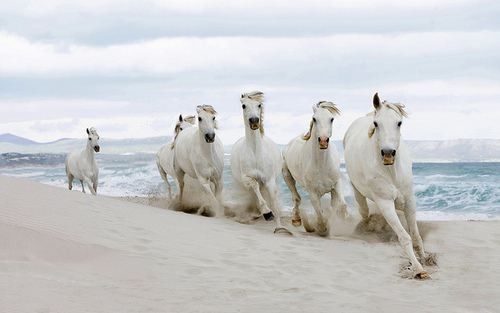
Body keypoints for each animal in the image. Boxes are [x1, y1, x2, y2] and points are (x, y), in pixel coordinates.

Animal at [229, 91, 292, 233]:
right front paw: (267, 213)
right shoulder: (247, 178)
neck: (256, 153)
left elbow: (273, 201)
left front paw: (280, 228)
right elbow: (255, 186)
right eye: (244, 106)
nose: (254, 121)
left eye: (259, 105)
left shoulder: (269, 180)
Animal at [282, 101, 348, 235]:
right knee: (296, 198)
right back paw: (296, 220)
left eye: (332, 119)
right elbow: (320, 213)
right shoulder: (312, 192)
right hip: (287, 175)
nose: (323, 141)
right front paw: (320, 228)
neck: (322, 165)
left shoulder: (336, 185)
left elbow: (340, 206)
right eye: (314, 119)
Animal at [344, 92, 430, 278]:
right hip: (358, 192)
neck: (392, 172)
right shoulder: (385, 203)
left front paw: (424, 259)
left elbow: (416, 235)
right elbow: (405, 238)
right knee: (364, 211)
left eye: (399, 123)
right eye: (376, 124)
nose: (388, 154)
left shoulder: (409, 201)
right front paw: (418, 269)